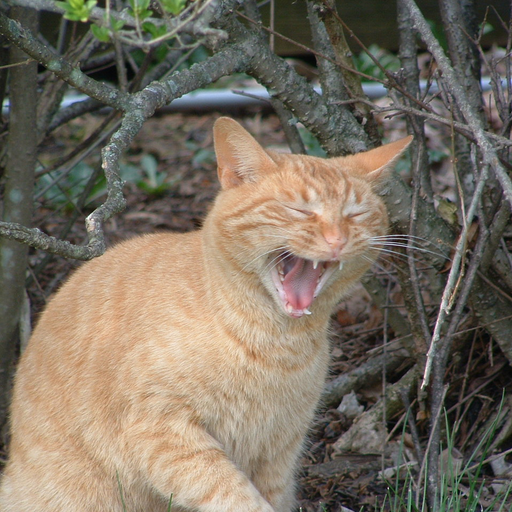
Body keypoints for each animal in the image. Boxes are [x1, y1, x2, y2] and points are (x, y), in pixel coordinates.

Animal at [0, 117, 411, 512]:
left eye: (355, 215)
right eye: (299, 210)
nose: (337, 240)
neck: (277, 345)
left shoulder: (279, 449)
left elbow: (271, 496)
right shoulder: (160, 428)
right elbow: (233, 494)